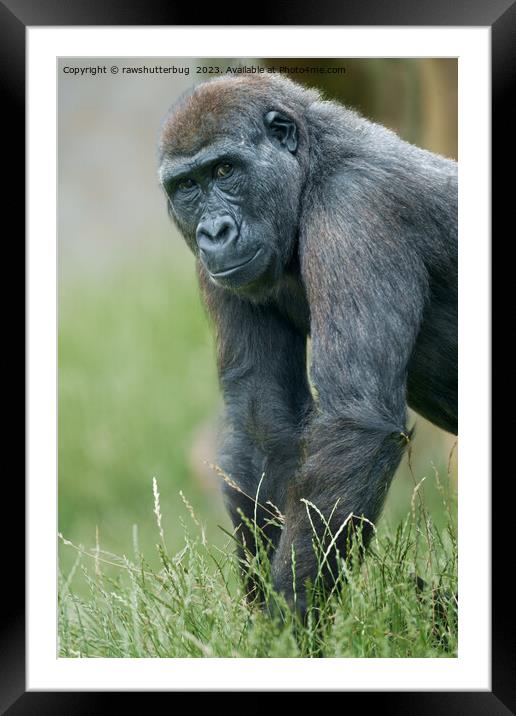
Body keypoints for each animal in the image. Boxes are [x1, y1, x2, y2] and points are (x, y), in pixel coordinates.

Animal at [157, 77, 456, 616]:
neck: (313, 166)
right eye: (187, 186)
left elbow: (355, 420)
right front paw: (264, 621)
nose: (213, 232)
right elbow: (263, 424)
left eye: (225, 170)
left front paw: (290, 623)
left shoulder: (355, 206)